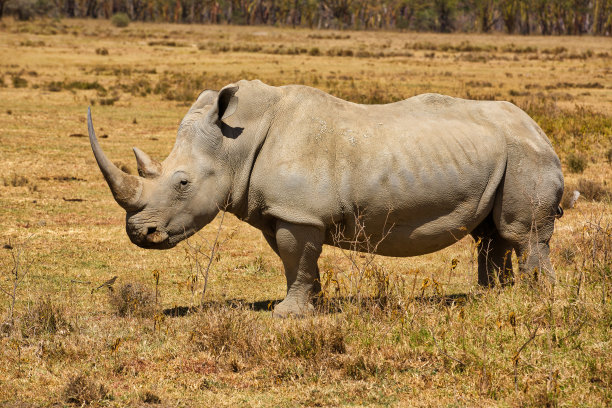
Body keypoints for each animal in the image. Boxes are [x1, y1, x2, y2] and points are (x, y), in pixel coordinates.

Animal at [87, 79, 564, 316]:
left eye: (182, 183)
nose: (139, 233)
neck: (235, 143)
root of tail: (540, 128)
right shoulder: (280, 210)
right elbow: (293, 261)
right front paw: (308, 306)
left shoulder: (298, 212)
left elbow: (295, 257)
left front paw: (287, 315)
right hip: (503, 153)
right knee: (489, 234)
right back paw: (491, 298)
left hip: (527, 155)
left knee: (522, 233)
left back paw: (535, 300)